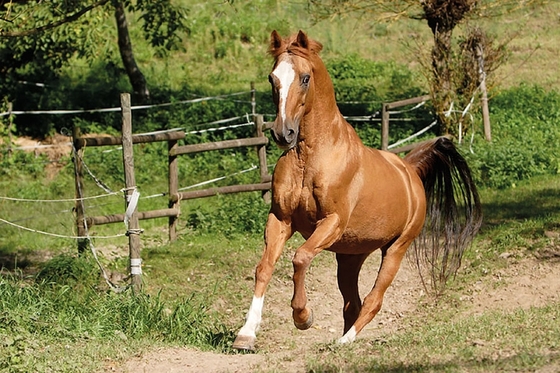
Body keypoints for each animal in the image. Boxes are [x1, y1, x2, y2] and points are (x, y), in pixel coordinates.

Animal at [232, 30, 482, 350]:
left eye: (305, 78)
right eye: (271, 78)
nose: (282, 133)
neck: (310, 157)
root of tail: (410, 169)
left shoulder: (332, 222)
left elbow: (300, 257)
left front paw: (303, 317)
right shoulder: (280, 218)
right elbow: (263, 268)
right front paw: (246, 334)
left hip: (396, 249)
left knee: (373, 300)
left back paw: (344, 341)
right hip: (351, 256)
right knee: (353, 303)